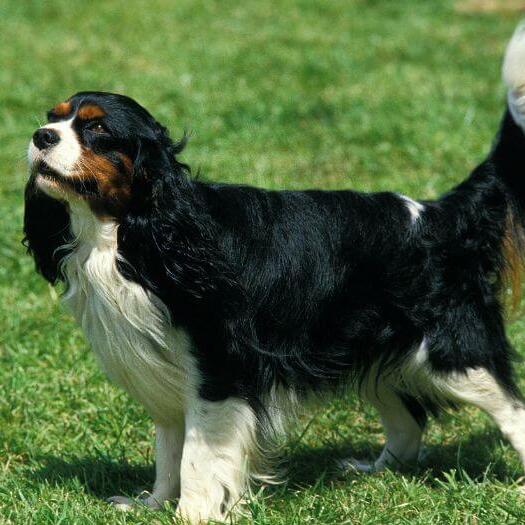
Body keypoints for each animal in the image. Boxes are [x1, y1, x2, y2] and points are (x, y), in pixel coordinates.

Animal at [24, 24, 525, 524]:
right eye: (53, 117)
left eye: (97, 129)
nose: (40, 135)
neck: (134, 237)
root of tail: (438, 215)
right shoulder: (166, 375)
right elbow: (169, 447)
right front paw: (153, 504)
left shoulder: (218, 370)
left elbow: (197, 457)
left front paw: (191, 514)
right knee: (405, 419)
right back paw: (377, 471)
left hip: (454, 353)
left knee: (512, 411)